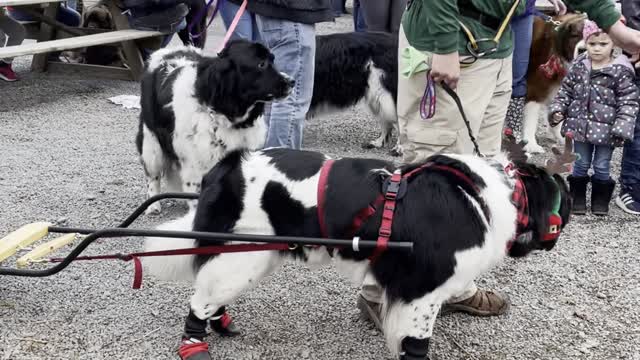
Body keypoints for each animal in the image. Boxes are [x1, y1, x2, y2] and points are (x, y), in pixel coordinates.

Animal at [137, 40, 296, 214]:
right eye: (261, 64)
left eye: (272, 60)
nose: (292, 81)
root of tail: (165, 51)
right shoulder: (194, 167)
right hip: (151, 144)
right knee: (152, 175)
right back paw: (153, 205)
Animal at [142, 134, 572, 358]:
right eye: (566, 205)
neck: (481, 195)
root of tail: (227, 164)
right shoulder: (422, 291)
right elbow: (416, 342)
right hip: (245, 254)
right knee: (200, 297)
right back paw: (195, 342)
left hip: (247, 254)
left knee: (210, 289)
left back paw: (221, 323)